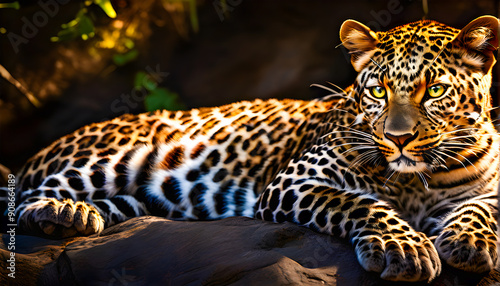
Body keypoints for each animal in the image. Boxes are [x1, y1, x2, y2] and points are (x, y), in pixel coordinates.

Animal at [6, 15, 500, 282]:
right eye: (378, 91)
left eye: (435, 91)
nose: (398, 138)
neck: (418, 181)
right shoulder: (297, 181)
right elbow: (360, 203)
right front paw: (404, 248)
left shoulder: (489, 187)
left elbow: (481, 209)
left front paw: (468, 244)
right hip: (112, 158)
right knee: (26, 196)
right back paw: (62, 212)